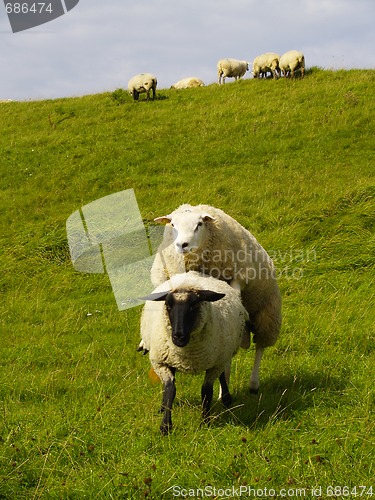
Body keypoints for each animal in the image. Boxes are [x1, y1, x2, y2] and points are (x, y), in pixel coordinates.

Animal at [140, 270, 248, 434]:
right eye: (168, 305)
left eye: (194, 305)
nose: (178, 336)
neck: (187, 355)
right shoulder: (161, 362)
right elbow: (170, 390)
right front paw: (165, 426)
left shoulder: (215, 364)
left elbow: (206, 391)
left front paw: (205, 421)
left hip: (222, 354)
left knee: (223, 374)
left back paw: (226, 398)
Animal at [151, 203, 284, 394]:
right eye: (173, 225)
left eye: (199, 224)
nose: (182, 245)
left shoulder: (238, 277)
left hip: (267, 313)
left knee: (259, 347)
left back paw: (252, 383)